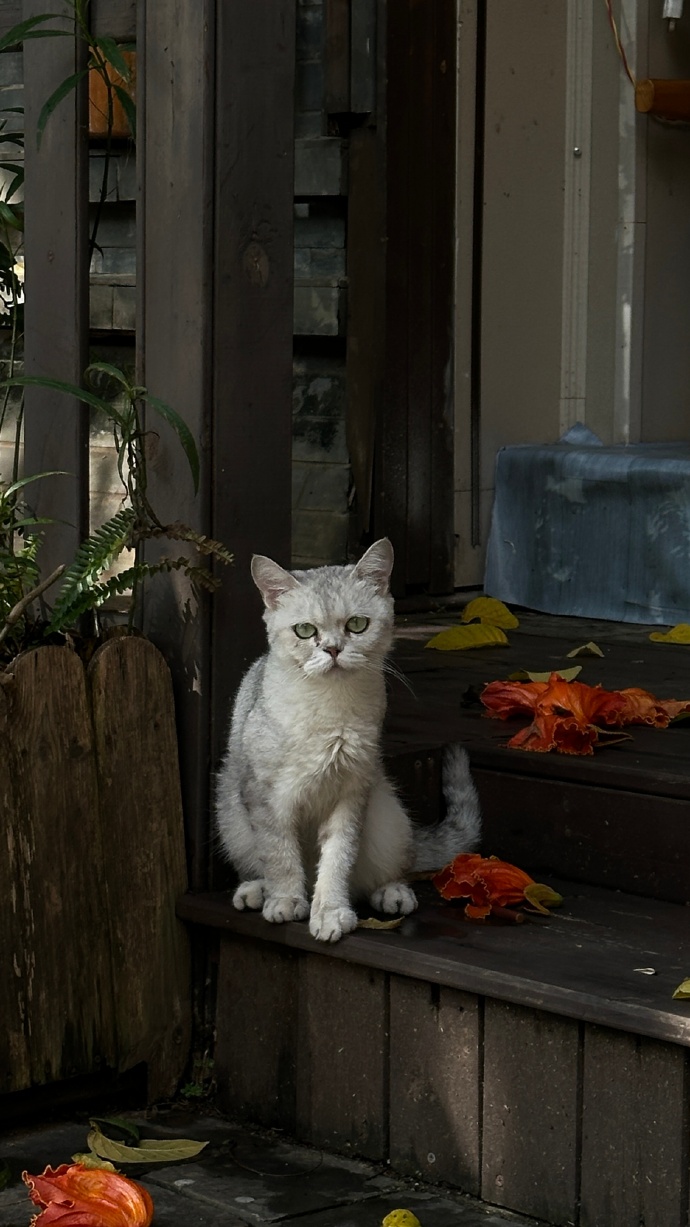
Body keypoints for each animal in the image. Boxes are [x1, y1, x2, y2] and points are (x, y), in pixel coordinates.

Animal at [214, 532, 478, 942]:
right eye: (305, 631)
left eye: (357, 624)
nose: (333, 649)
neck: (328, 708)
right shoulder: (265, 796)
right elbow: (279, 854)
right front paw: (285, 899)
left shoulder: (352, 790)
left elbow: (338, 860)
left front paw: (330, 912)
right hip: (232, 817)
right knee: (258, 864)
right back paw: (256, 891)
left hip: (387, 816)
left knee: (390, 870)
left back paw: (393, 893)